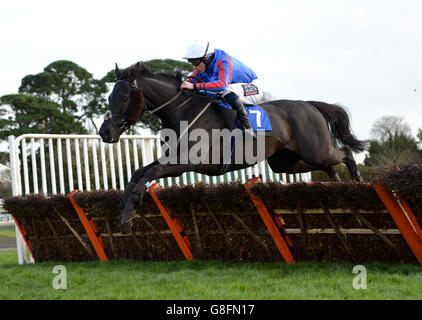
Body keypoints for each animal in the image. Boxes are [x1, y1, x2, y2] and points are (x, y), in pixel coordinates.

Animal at [99, 62, 366, 232]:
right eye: (109, 97)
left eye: (123, 97)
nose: (105, 132)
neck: (182, 112)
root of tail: (309, 104)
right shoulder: (171, 158)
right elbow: (138, 172)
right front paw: (123, 207)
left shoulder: (185, 162)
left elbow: (150, 174)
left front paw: (128, 215)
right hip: (286, 162)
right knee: (329, 167)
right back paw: (337, 188)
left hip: (315, 150)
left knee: (345, 154)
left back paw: (359, 183)